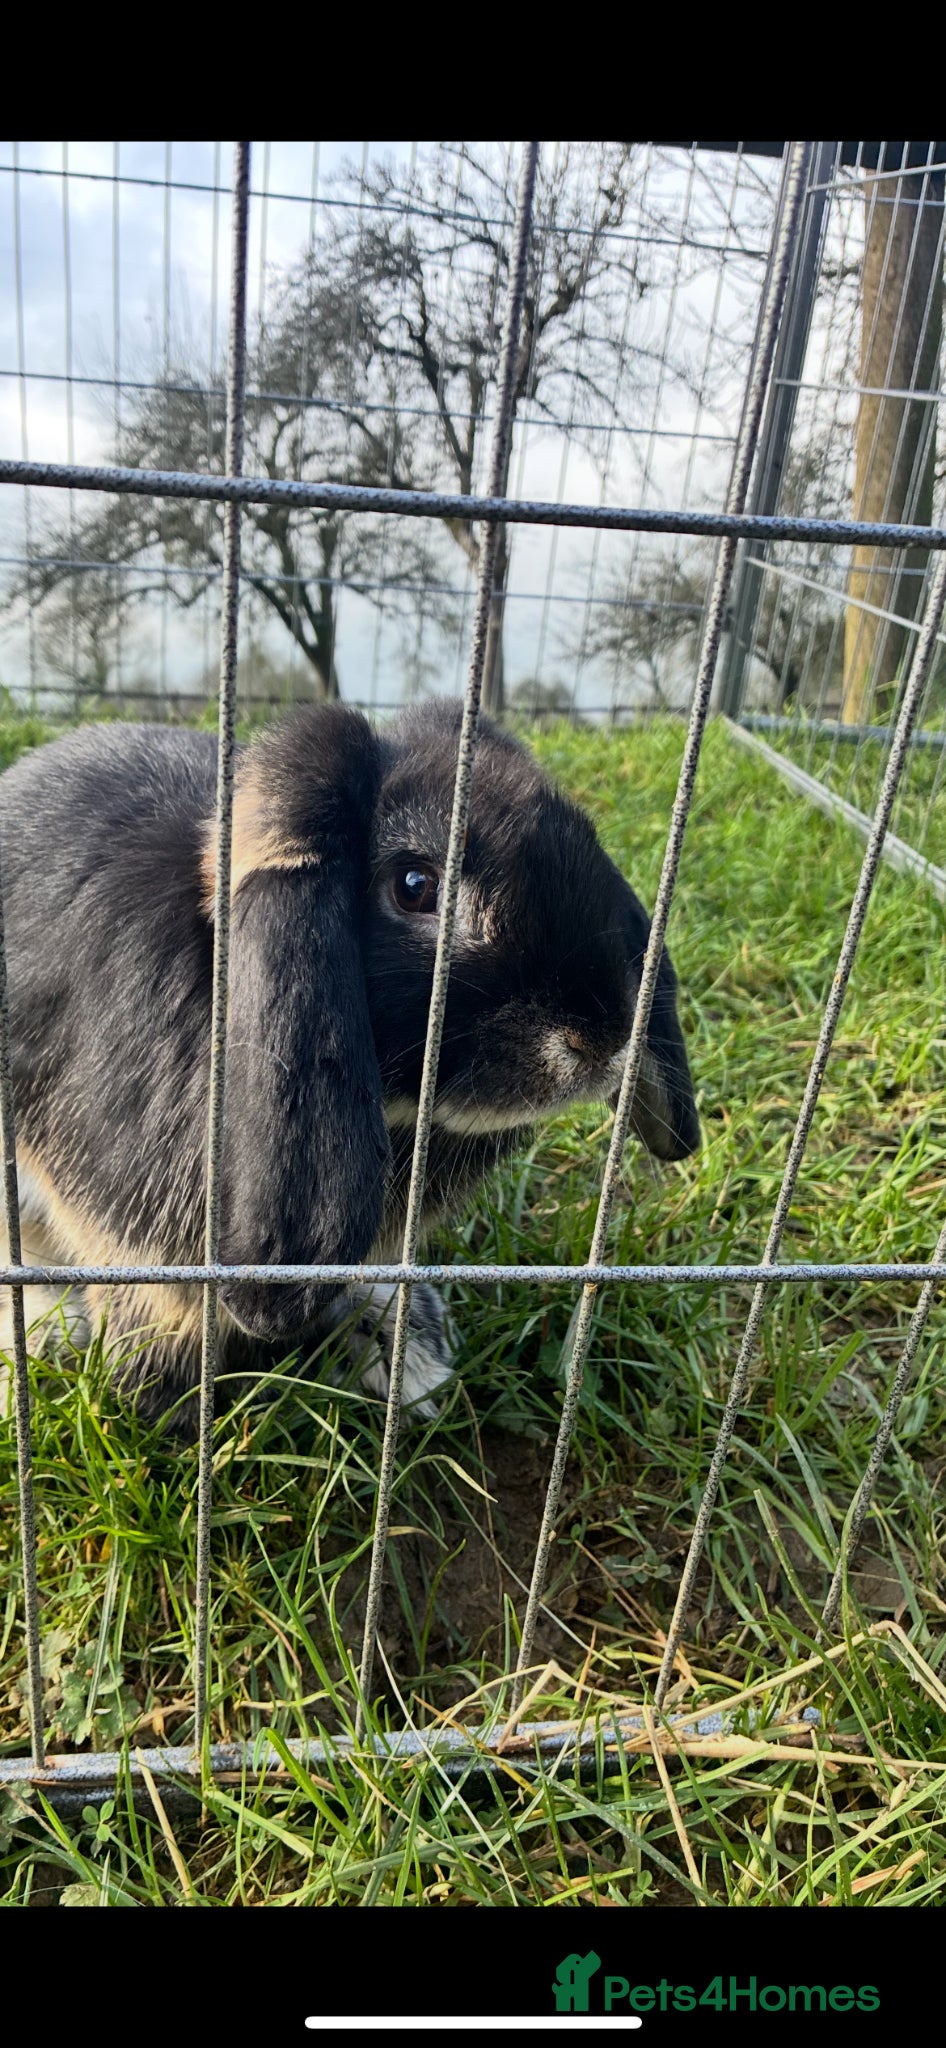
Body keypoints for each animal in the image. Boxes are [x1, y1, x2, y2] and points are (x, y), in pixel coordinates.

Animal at [0, 699, 699, 1434]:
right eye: (415, 886)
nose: (603, 1036)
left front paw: (410, 1366)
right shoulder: (131, 1243)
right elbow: (161, 1317)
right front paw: (169, 1411)